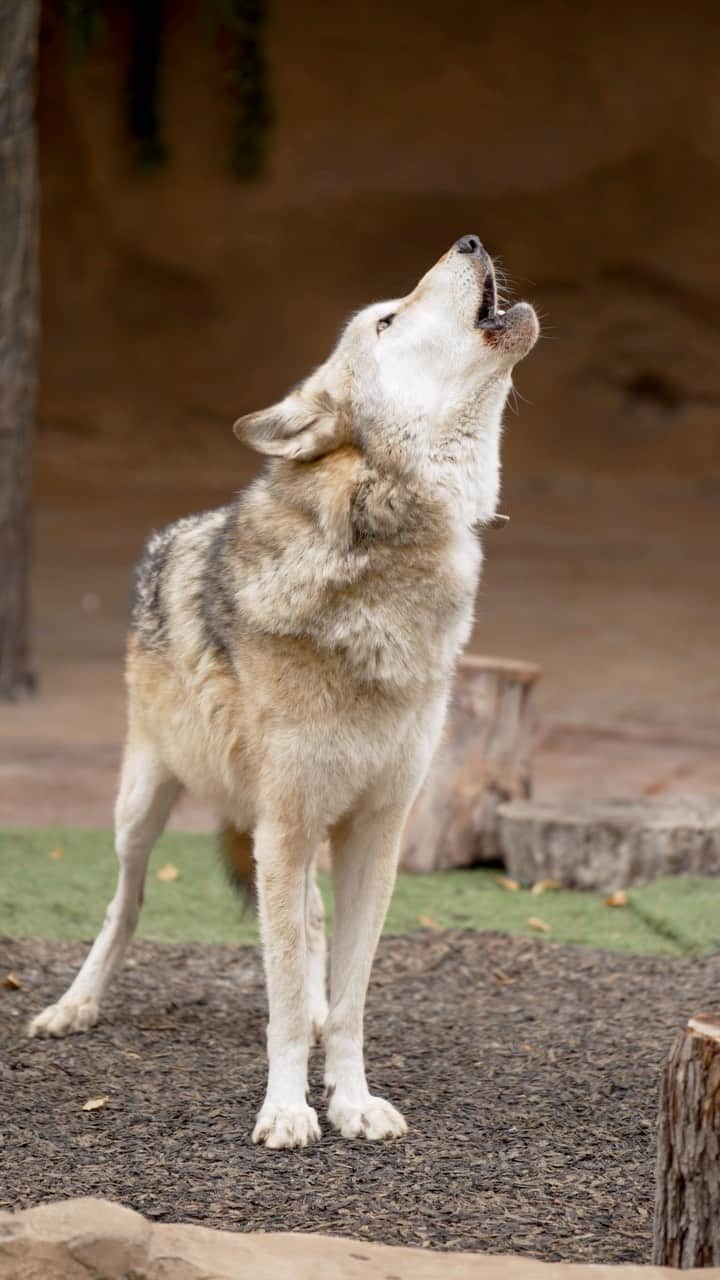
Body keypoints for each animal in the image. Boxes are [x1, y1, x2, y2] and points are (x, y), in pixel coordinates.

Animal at [30, 238, 535, 1152]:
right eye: (386, 321)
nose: (471, 242)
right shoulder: (290, 827)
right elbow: (284, 1002)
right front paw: (288, 1110)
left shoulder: (374, 832)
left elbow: (348, 999)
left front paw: (352, 1100)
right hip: (144, 809)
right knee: (127, 904)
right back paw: (73, 1006)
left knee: (308, 932)